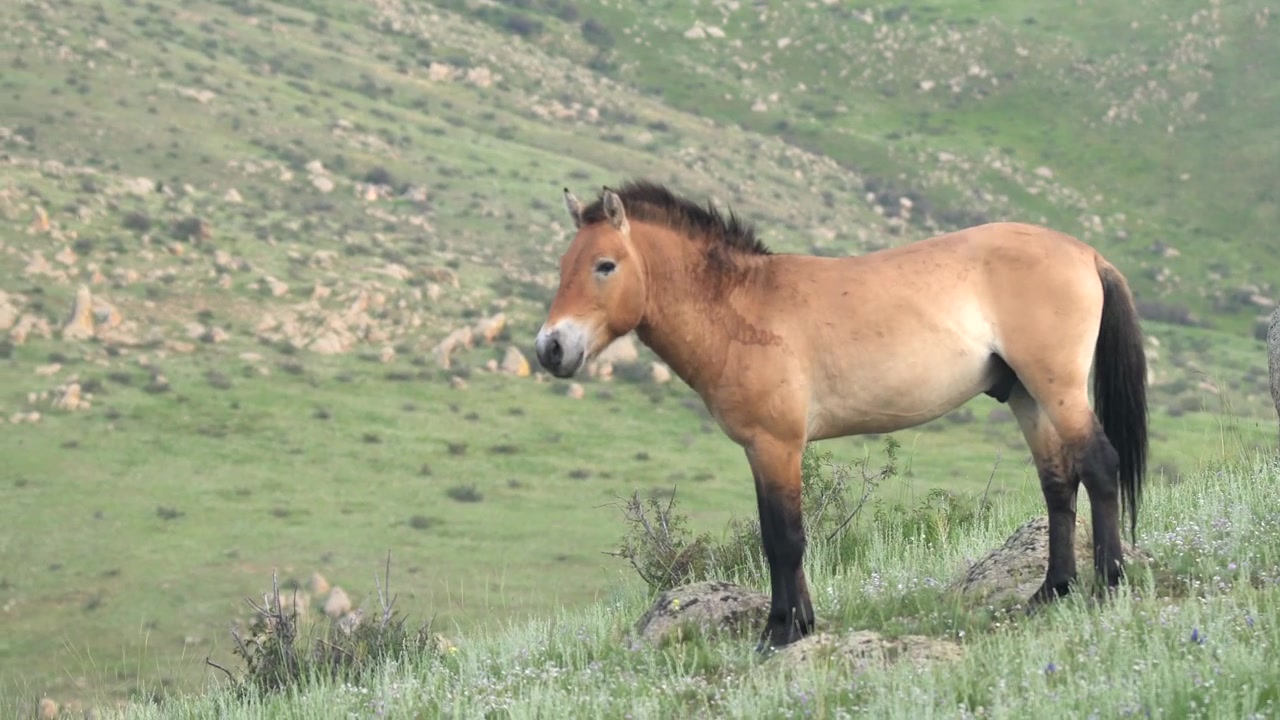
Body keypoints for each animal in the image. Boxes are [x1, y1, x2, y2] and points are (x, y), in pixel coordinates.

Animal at [534, 180, 1149, 651]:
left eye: (605, 265)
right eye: (564, 265)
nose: (550, 349)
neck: (742, 308)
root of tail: (1085, 254)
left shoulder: (776, 445)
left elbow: (784, 539)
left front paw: (780, 633)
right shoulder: (762, 451)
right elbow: (776, 535)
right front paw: (798, 624)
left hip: (1057, 388)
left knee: (1099, 464)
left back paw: (1108, 586)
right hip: (1028, 397)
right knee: (1057, 483)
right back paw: (1051, 592)